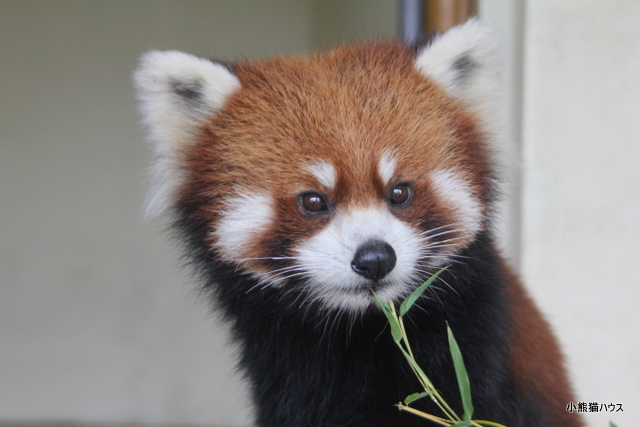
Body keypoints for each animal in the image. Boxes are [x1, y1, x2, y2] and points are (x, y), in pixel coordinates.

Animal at [135, 20, 584, 427]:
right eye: (313, 201)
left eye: (400, 192)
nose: (375, 259)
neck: (362, 335)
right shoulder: (288, 379)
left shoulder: (474, 356)